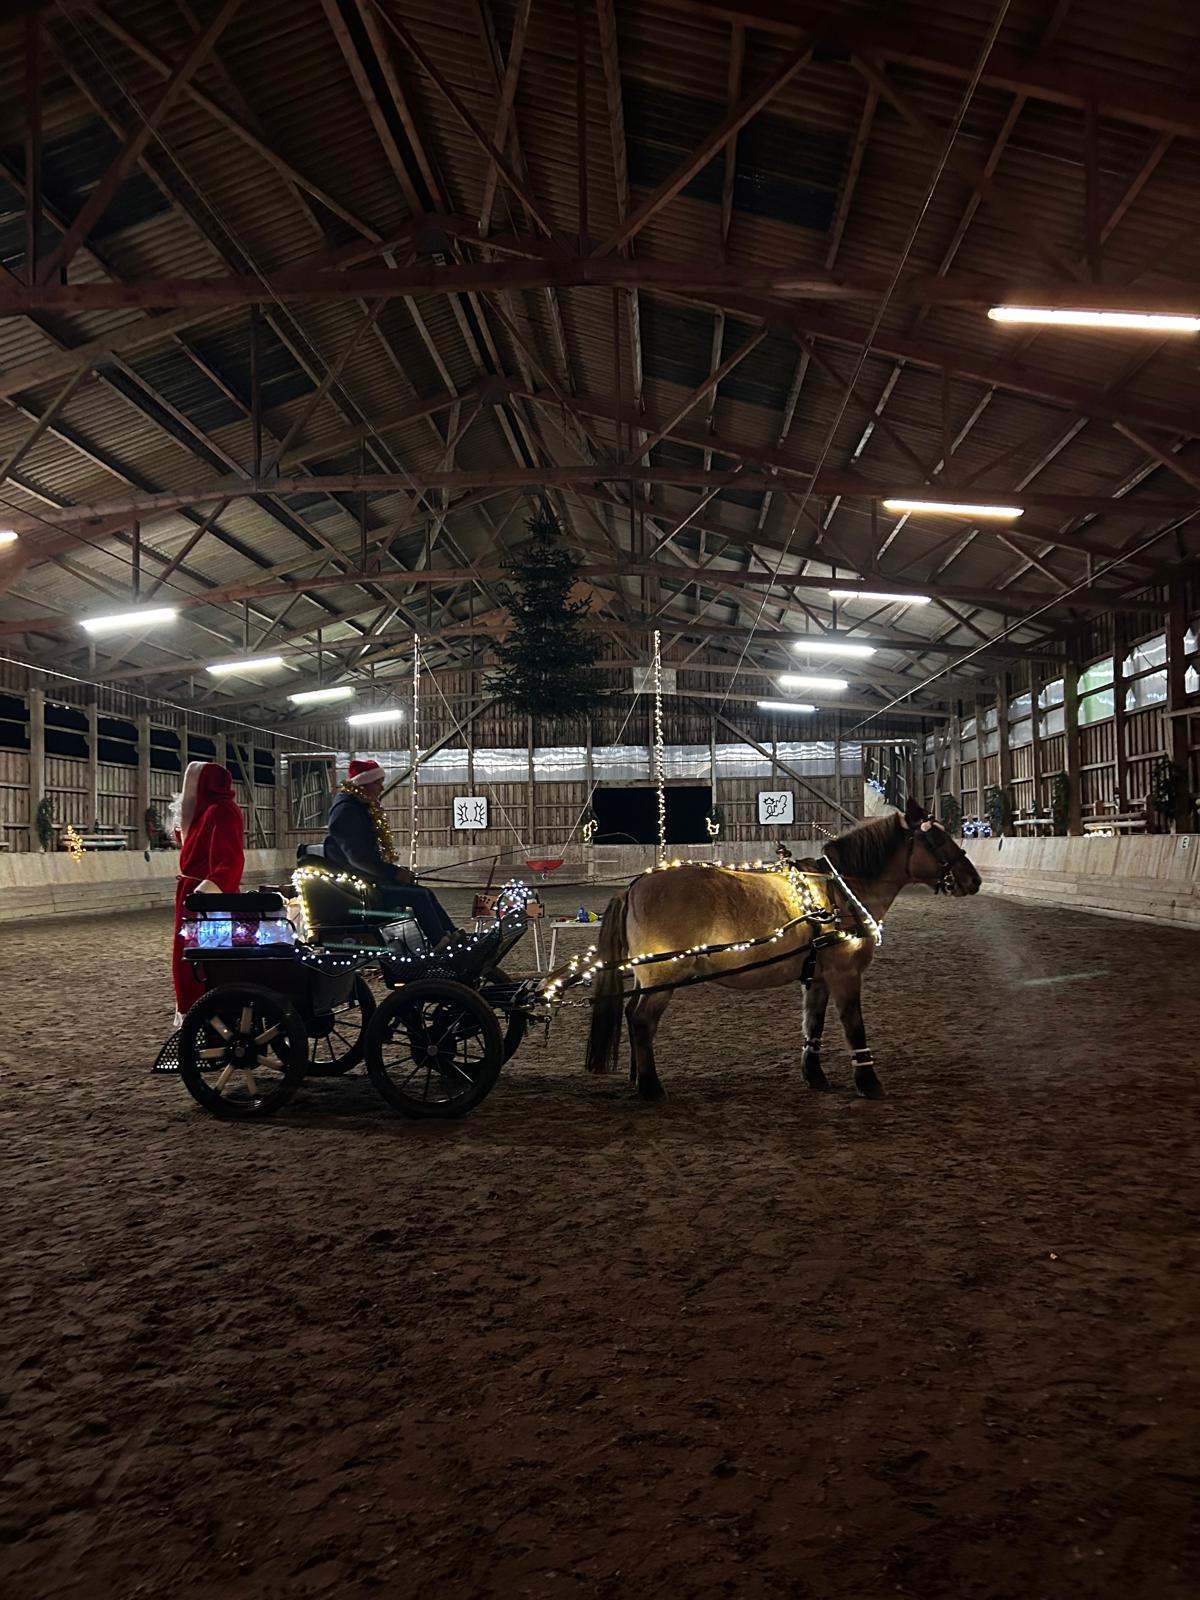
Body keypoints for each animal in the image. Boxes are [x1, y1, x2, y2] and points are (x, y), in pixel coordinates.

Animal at [582, 798, 981, 1102]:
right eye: (938, 840)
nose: (974, 880)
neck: (840, 892)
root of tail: (635, 885)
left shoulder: (817, 978)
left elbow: (814, 1025)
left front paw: (815, 1075)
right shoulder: (845, 973)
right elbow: (854, 1027)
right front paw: (869, 1082)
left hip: (648, 974)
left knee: (634, 1016)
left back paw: (639, 1077)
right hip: (665, 975)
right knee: (641, 1020)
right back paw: (651, 1088)